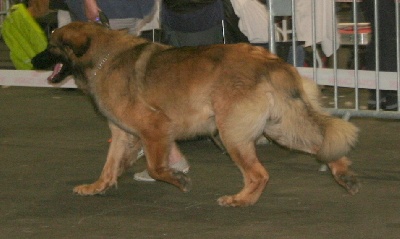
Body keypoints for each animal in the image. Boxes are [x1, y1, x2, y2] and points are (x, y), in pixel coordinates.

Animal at [48, 21, 360, 206]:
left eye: (52, 47)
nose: (36, 58)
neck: (103, 58)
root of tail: (269, 60)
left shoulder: (154, 127)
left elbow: (156, 166)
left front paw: (178, 179)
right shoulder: (124, 134)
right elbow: (110, 165)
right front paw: (97, 187)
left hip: (232, 132)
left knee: (259, 174)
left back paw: (241, 200)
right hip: (280, 128)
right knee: (323, 144)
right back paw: (343, 173)